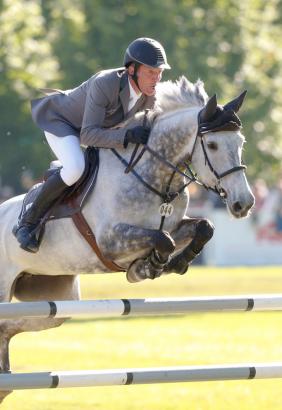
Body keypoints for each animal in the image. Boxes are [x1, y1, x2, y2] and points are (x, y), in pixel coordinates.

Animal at [0, 75, 253, 402]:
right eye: (212, 144)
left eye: (241, 143)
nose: (243, 203)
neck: (153, 176)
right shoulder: (110, 241)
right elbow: (162, 240)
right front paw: (145, 268)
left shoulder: (174, 225)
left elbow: (202, 227)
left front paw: (175, 263)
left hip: (56, 302)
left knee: (8, 327)